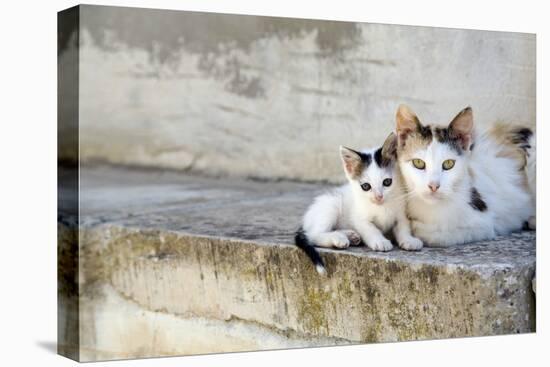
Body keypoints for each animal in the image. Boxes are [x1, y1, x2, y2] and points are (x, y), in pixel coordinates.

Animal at [298, 134, 422, 274]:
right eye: (366, 186)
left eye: (387, 182)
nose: (378, 197)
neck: (382, 206)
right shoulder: (359, 218)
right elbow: (370, 229)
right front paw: (380, 241)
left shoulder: (401, 212)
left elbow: (403, 227)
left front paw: (408, 240)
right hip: (330, 205)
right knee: (313, 235)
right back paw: (338, 238)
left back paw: (350, 235)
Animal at [396, 104, 540, 247]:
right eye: (418, 163)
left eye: (448, 163)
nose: (433, 186)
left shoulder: (485, 225)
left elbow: (440, 235)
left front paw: (417, 228)